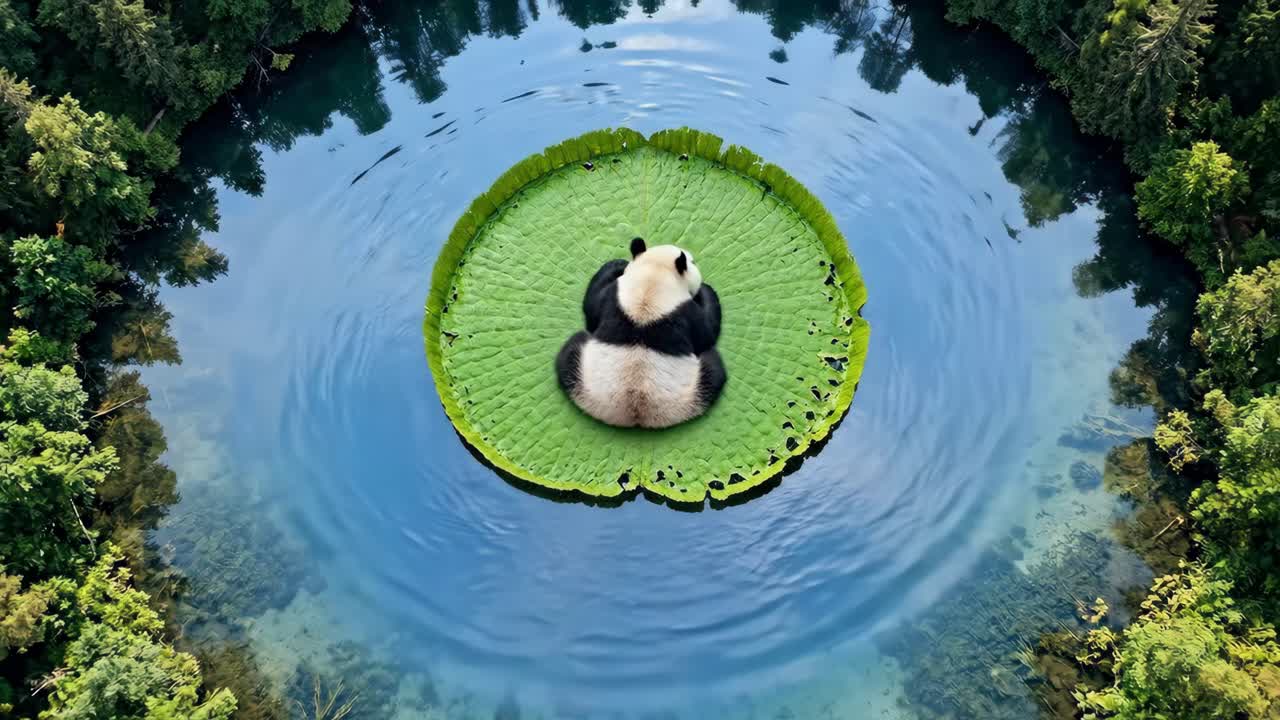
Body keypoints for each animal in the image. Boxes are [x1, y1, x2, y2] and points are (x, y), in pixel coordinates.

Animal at [556, 237, 727, 429]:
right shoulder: (679, 310)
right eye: (693, 262)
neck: (653, 279)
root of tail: (637, 414)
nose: (694, 262)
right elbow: (707, 332)